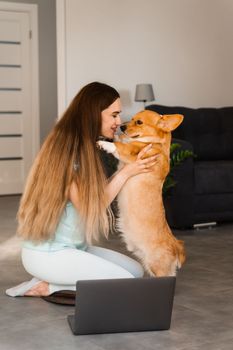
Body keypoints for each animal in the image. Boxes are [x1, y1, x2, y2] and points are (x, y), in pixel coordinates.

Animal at [98, 109, 186, 276]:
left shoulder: (132, 153)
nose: (121, 127)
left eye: (139, 122)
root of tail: (176, 247)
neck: (156, 144)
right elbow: (121, 140)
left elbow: (120, 146)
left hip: (157, 267)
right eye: (131, 119)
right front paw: (109, 136)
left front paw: (105, 143)